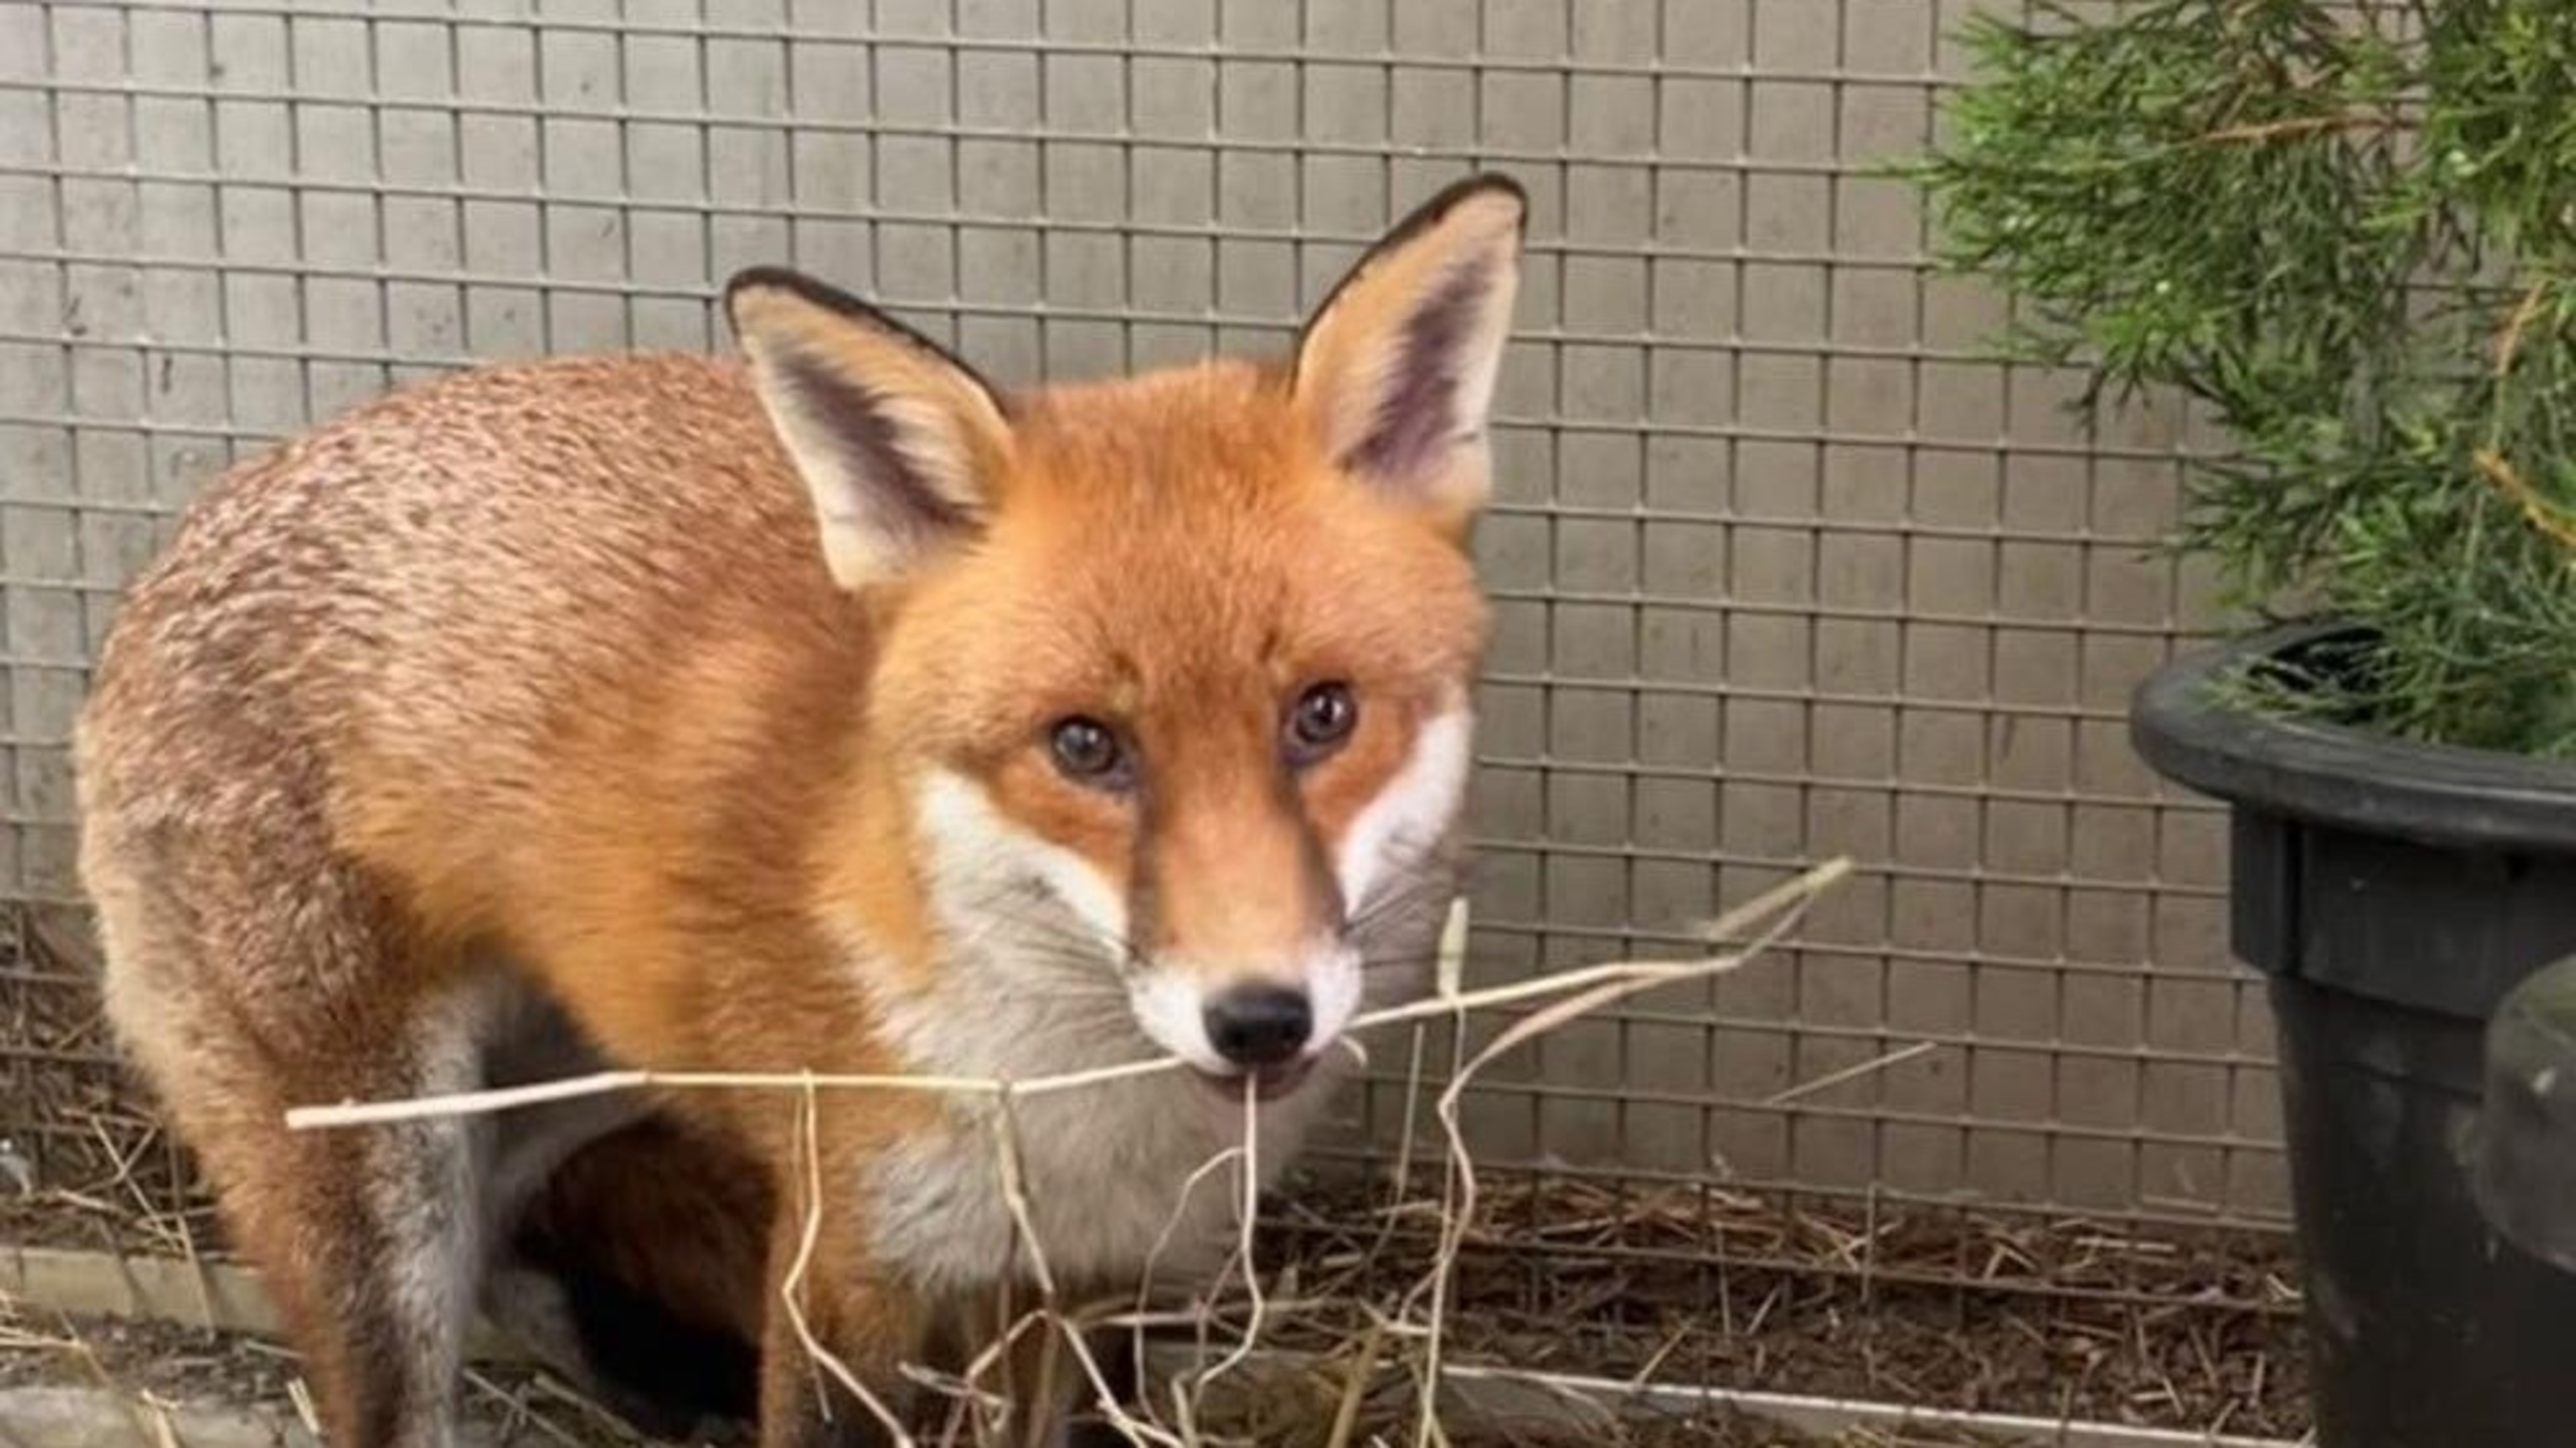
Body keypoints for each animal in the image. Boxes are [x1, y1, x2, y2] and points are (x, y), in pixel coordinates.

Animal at [70, 173, 1526, 1448]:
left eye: (1322, 714)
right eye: (1085, 745)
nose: (1260, 1014)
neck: (1066, 1099)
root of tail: (172, 548)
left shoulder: (1075, 1273)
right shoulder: (844, 1262)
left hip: (588, 1072)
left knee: (512, 1229)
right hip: (373, 1162)